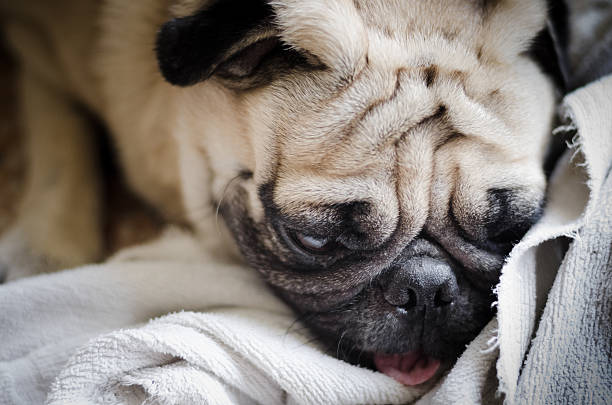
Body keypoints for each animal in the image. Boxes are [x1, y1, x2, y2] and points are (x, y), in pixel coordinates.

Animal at [0, 0, 564, 386]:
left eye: (510, 233)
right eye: (311, 240)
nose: (425, 288)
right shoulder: (39, 46)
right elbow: (59, 141)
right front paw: (46, 253)